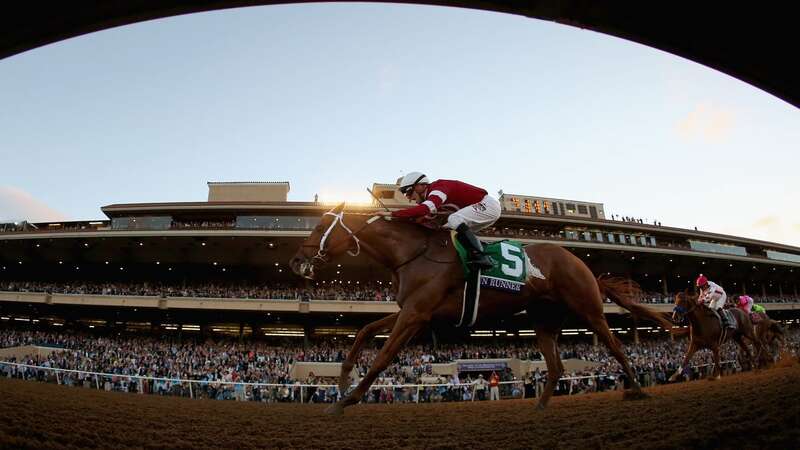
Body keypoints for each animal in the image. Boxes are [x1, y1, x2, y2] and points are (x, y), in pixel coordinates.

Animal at [290, 205, 672, 414]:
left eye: (321, 227)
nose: (296, 261)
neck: (412, 253)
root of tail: (579, 260)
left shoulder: (416, 314)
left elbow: (382, 357)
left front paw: (346, 400)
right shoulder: (412, 310)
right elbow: (365, 331)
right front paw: (343, 377)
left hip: (587, 308)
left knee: (617, 346)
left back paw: (638, 390)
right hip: (544, 320)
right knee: (557, 366)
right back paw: (540, 406)